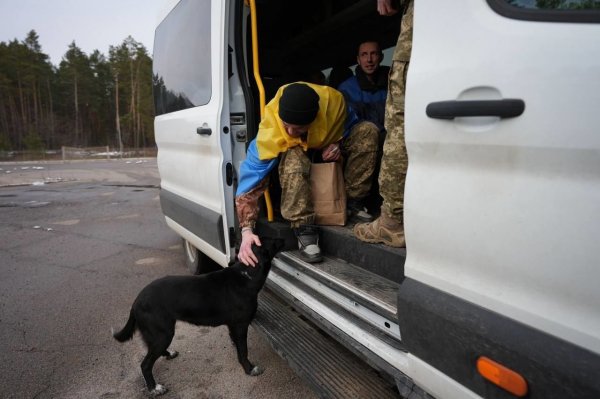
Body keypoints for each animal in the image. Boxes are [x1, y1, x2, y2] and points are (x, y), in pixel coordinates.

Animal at [112, 238, 284, 396]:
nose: (282, 238)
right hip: (163, 333)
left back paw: (169, 354)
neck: (247, 274)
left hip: (159, 334)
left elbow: (237, 345)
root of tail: (137, 300)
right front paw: (249, 369)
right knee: (145, 364)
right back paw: (155, 388)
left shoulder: (232, 326)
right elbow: (243, 351)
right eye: (272, 241)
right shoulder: (240, 325)